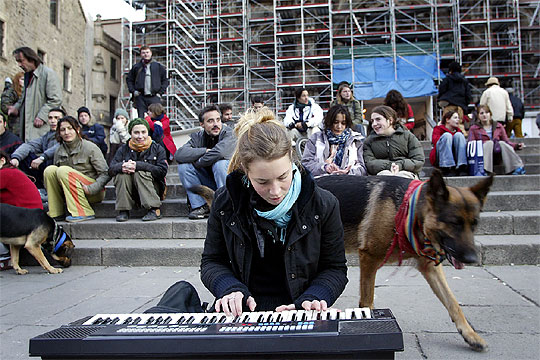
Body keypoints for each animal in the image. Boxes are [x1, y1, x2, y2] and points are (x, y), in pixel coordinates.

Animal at [314, 171, 496, 352]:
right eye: (454, 223)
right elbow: (367, 301)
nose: (472, 259)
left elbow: (452, 302)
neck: (410, 211)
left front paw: (470, 334)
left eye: (474, 224)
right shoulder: (369, 258)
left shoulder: (430, 268)